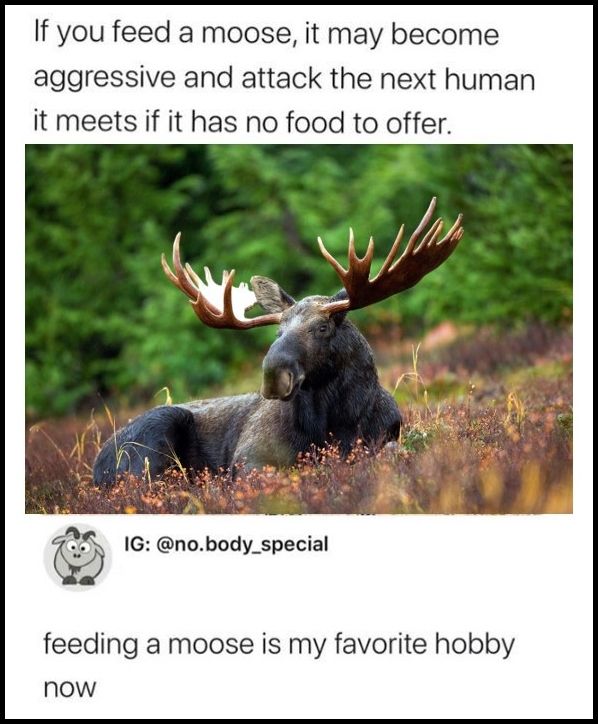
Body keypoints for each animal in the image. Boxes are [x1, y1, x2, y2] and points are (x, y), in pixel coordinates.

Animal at [93, 198, 463, 486]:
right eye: (278, 331)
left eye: (323, 327)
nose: (273, 375)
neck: (335, 423)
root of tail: (96, 467)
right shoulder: (249, 457)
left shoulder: (387, 436)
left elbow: (391, 451)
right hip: (153, 437)